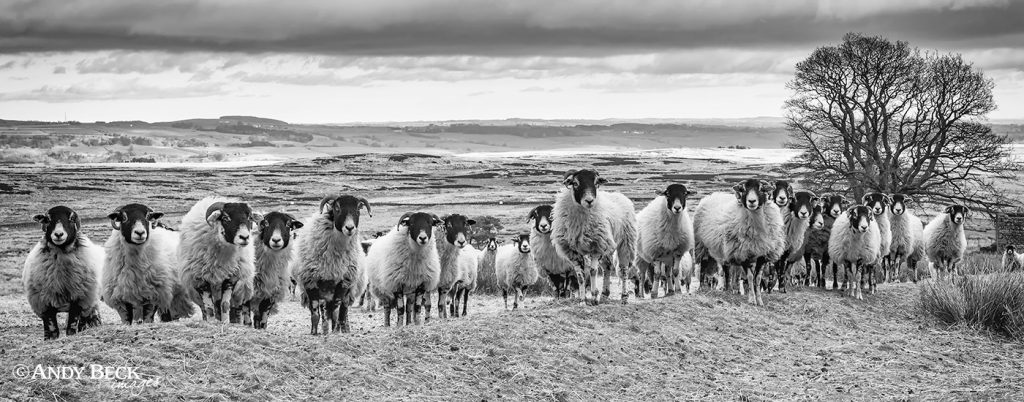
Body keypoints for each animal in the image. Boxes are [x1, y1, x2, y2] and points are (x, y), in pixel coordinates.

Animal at [22, 206, 102, 337]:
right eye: (47, 219)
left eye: (71, 219)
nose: (58, 234)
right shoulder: (44, 303)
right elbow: (52, 328)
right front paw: (50, 338)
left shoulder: (78, 300)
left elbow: (72, 326)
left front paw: (72, 335)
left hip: (89, 298)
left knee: (87, 317)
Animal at [292, 195, 372, 333]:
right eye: (337, 208)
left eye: (358, 209)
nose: (350, 228)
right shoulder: (310, 281)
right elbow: (315, 311)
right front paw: (314, 332)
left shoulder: (343, 282)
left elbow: (336, 309)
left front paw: (335, 330)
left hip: (350, 290)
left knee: (343, 310)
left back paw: (344, 328)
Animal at [552, 168, 638, 304]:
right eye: (575, 183)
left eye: (596, 182)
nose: (589, 201)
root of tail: (620, 195)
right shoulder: (573, 251)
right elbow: (581, 276)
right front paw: (582, 300)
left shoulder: (596, 246)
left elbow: (593, 271)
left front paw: (593, 298)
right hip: (607, 244)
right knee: (607, 267)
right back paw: (604, 294)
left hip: (626, 241)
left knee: (624, 269)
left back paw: (624, 297)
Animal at [696, 176, 782, 304]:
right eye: (744, 189)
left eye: (761, 189)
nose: (752, 201)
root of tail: (712, 196)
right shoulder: (744, 253)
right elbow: (750, 278)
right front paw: (752, 300)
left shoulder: (762, 255)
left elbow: (757, 279)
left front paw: (760, 301)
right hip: (702, 246)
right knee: (703, 267)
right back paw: (702, 288)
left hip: (724, 249)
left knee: (726, 270)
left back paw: (727, 289)